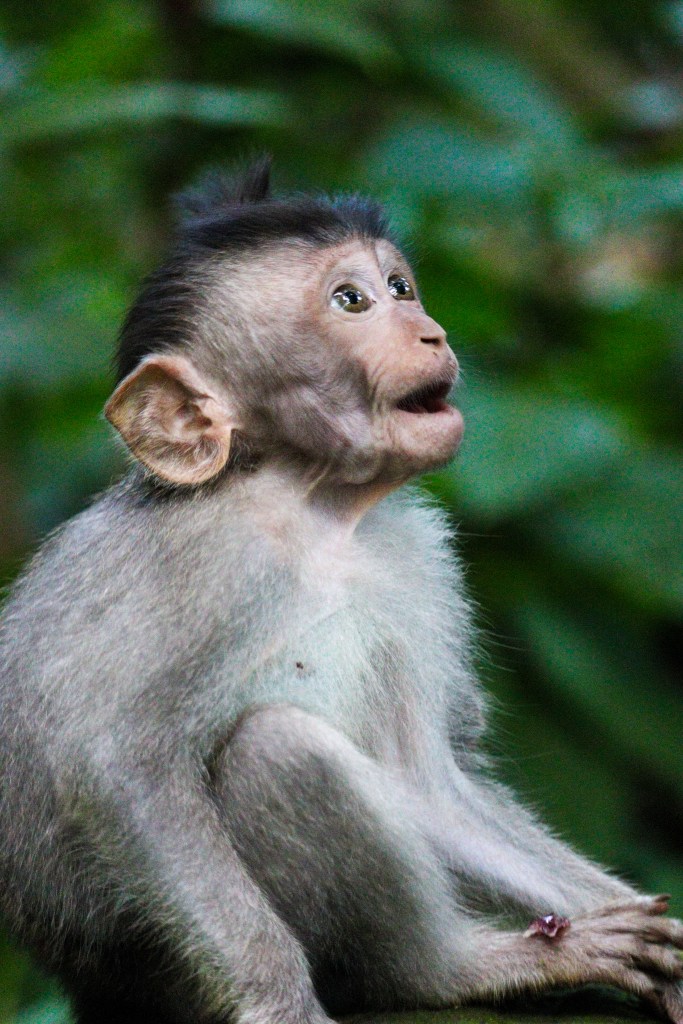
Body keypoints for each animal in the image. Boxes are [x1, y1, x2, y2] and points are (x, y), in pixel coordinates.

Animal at [0, 158, 682, 1024]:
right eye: (350, 302)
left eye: (400, 288)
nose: (430, 332)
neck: (316, 509)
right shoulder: (219, 562)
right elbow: (119, 762)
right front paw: (278, 997)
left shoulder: (416, 561)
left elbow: (426, 784)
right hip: (160, 969)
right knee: (279, 752)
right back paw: (446, 971)